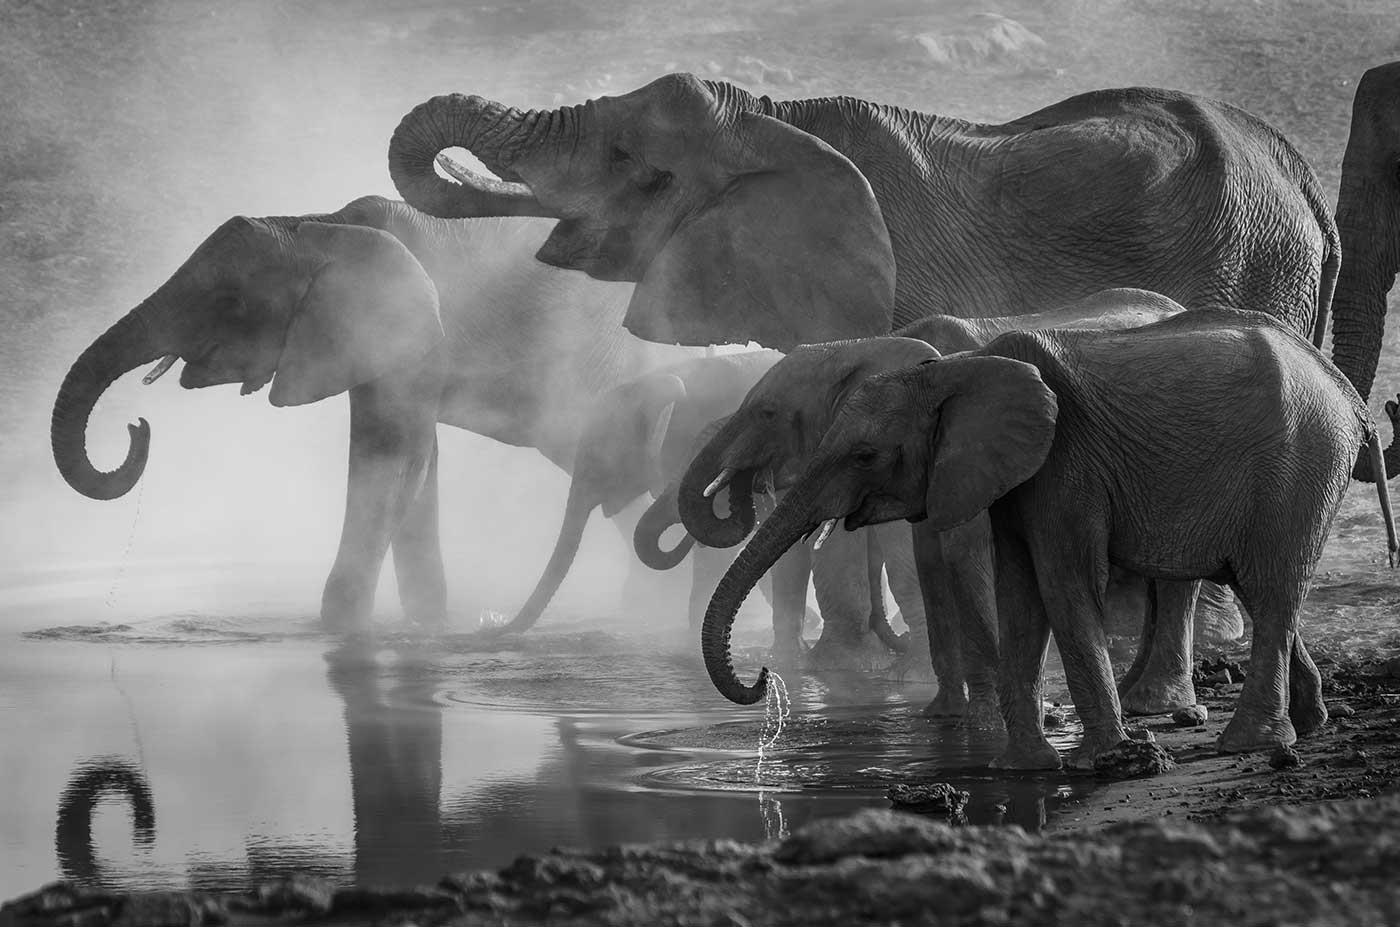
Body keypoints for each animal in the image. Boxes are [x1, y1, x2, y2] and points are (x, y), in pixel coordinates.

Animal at [50, 196, 703, 631]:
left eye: (229, 301)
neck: (317, 224)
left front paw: (342, 632)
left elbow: (391, 460)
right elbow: (417, 464)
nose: (137, 427)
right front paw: (425, 627)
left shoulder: (405, 328)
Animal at [699, 309, 1397, 771]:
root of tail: (1346, 390)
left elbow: (1062, 582)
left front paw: (1101, 761)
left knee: (1271, 588)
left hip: (1300, 466)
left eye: (865, 455)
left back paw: (1250, 744)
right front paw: (1024, 767)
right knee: (1260, 586)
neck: (953, 372)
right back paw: (1308, 725)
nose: (764, 677)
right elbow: (1019, 590)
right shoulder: (1008, 474)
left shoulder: (1068, 462)